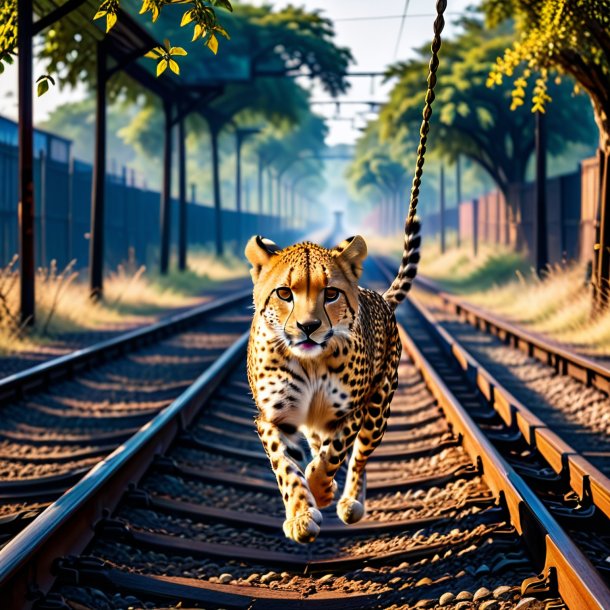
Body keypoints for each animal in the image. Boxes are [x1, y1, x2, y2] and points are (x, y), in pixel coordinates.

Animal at [242, 216, 418, 540]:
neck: (310, 362)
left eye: (331, 293)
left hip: (378, 411)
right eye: (284, 293)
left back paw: (351, 502)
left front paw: (320, 490)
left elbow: (333, 455)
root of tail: (380, 298)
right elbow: (286, 466)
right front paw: (301, 514)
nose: (308, 326)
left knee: (360, 457)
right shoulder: (273, 418)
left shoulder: (350, 411)